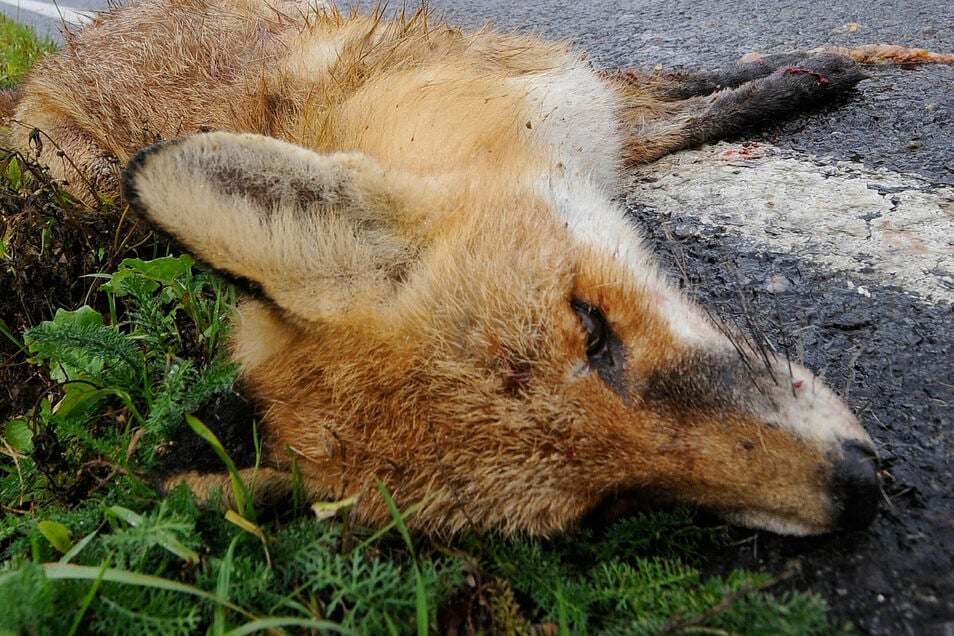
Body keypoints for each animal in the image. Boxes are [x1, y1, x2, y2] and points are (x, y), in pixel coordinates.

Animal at [11, 0, 884, 536]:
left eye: (591, 326)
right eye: (606, 506)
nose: (858, 486)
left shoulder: (544, 81)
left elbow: (684, 89)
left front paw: (810, 69)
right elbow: (671, 112)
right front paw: (798, 79)